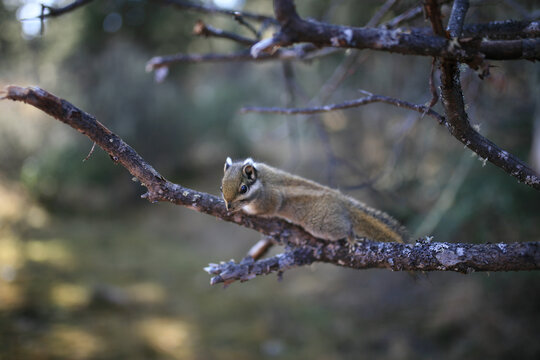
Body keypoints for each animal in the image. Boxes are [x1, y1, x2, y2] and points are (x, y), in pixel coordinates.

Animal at [221, 157, 408, 243]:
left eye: (243, 189)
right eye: (221, 188)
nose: (229, 207)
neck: (261, 181)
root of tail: (342, 201)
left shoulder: (270, 199)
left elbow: (264, 210)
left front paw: (245, 210)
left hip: (321, 224)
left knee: (344, 229)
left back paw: (351, 238)